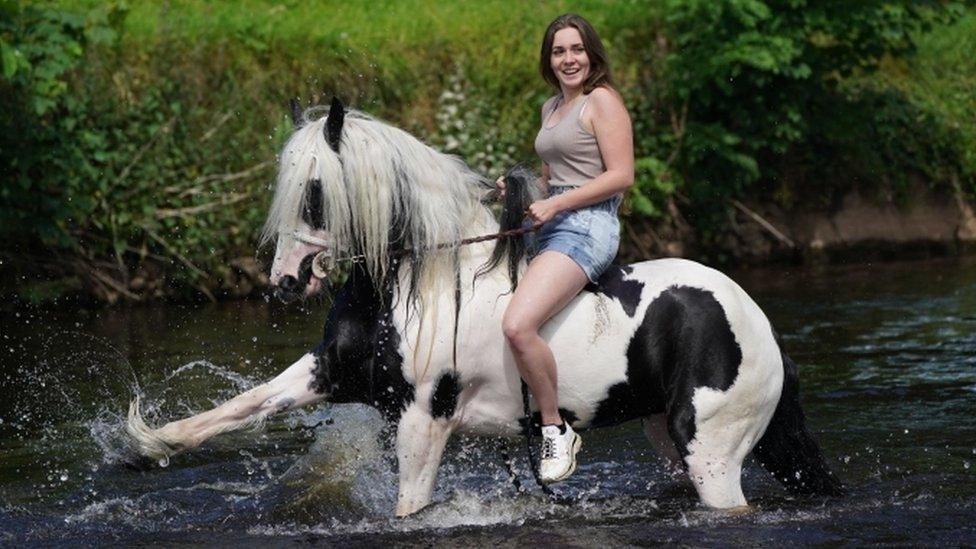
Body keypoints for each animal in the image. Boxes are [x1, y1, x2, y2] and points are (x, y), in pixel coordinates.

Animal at [126, 99, 844, 520]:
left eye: (314, 192)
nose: (284, 282)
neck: (415, 281)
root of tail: (761, 324)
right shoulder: (331, 371)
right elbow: (244, 405)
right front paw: (149, 442)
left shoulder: (424, 418)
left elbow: (411, 508)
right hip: (667, 436)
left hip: (713, 449)